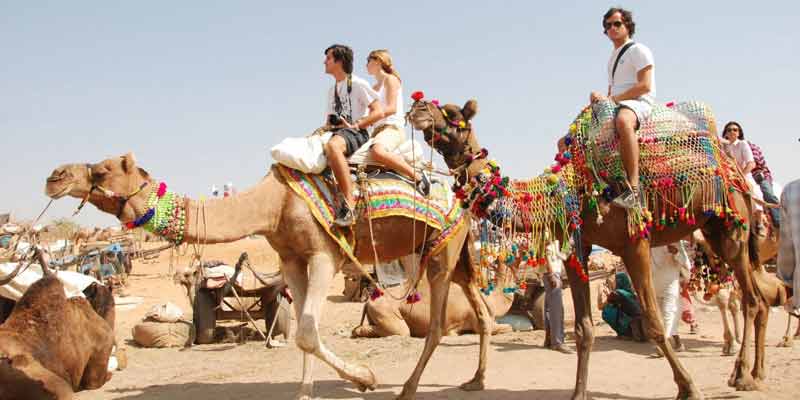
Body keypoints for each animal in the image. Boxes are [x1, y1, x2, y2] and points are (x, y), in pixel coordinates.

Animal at [410, 97, 784, 400]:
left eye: (453, 113)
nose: (417, 108)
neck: (568, 191)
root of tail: (732, 168)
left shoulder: (635, 243)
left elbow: (653, 321)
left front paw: (689, 387)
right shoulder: (578, 249)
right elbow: (584, 329)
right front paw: (578, 393)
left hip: (731, 228)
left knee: (751, 299)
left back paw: (744, 376)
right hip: (715, 230)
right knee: (759, 298)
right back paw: (754, 373)